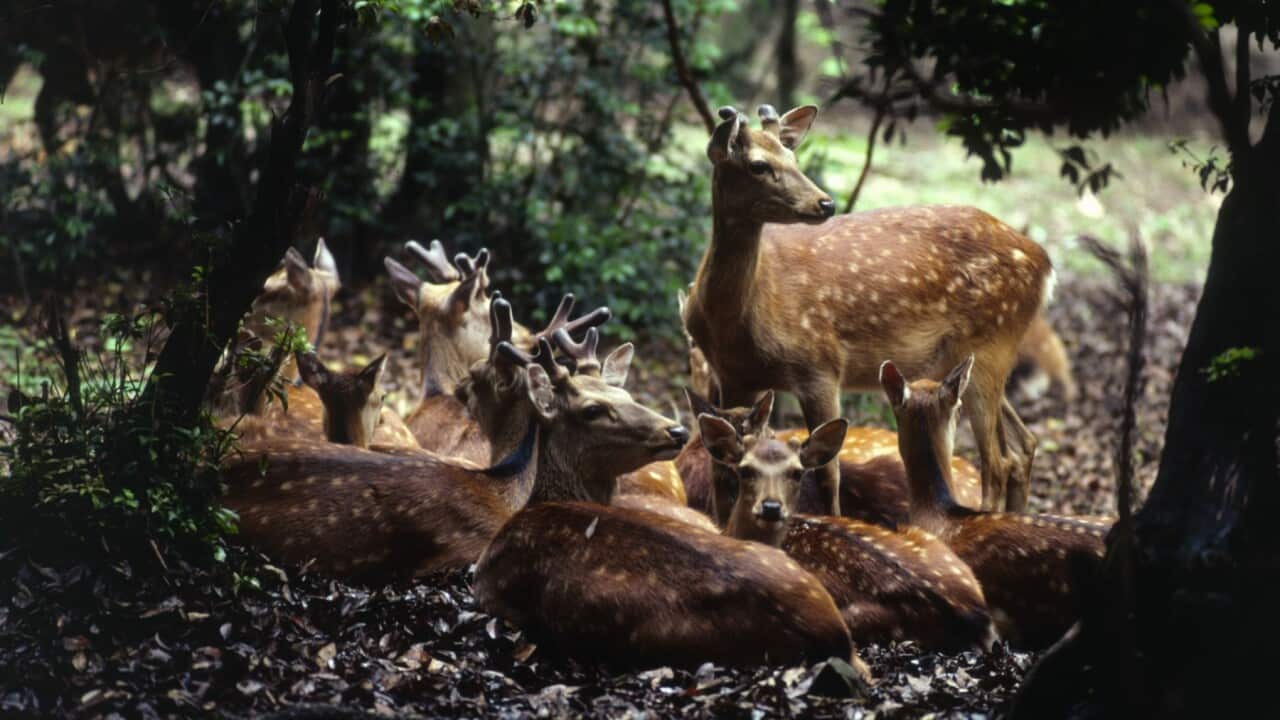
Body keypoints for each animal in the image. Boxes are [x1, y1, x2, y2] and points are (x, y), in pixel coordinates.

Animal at [683, 104, 1050, 516]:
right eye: (758, 165)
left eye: (793, 157)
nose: (825, 202)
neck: (735, 321)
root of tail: (1044, 261)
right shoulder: (734, 376)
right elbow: (722, 469)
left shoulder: (820, 365)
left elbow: (827, 472)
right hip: (971, 357)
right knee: (1023, 445)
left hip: (992, 343)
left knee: (998, 461)